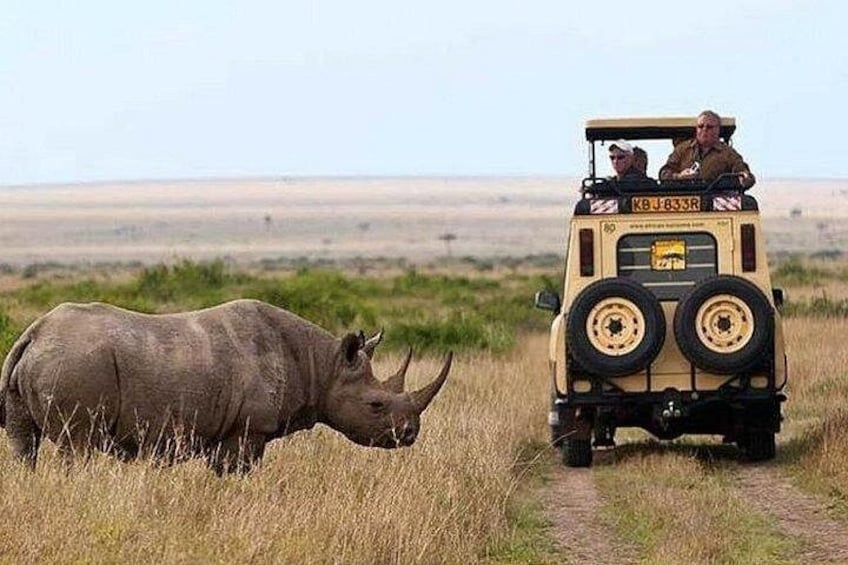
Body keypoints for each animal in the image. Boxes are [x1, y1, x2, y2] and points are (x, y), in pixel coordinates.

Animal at [0, 299, 452, 474]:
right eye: (376, 405)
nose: (410, 434)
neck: (322, 365)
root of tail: (34, 333)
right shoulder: (248, 429)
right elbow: (238, 473)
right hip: (76, 363)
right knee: (77, 446)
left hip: (50, 361)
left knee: (25, 443)